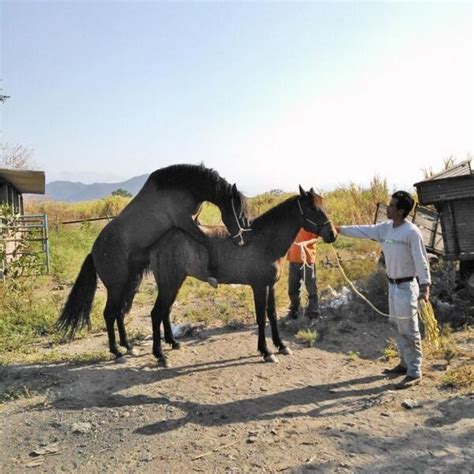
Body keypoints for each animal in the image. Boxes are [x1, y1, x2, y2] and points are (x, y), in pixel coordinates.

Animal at [57, 165, 250, 358]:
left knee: (119, 312)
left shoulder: (194, 222)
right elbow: (207, 240)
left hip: (129, 284)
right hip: (115, 287)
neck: (181, 186)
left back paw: (127, 345)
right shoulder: (187, 223)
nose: (241, 240)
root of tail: (93, 252)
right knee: (109, 314)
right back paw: (116, 350)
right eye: (239, 211)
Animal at [148, 183, 336, 364]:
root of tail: (159, 241)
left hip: (175, 283)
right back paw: (160, 355)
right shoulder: (259, 287)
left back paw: (173, 342)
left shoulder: (270, 286)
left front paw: (281, 345)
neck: (265, 240)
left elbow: (272, 315)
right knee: (156, 313)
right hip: (169, 284)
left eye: (324, 205)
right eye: (313, 208)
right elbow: (261, 318)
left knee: (166, 311)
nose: (332, 234)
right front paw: (266, 351)